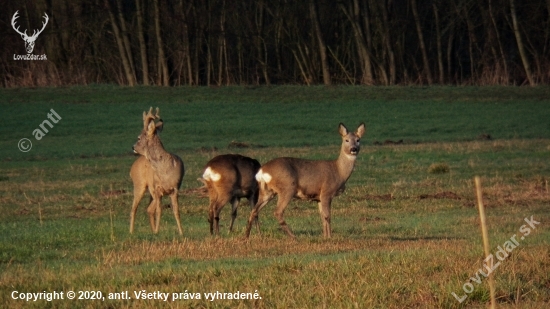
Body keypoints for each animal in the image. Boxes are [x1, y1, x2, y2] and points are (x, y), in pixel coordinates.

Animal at [130, 107, 185, 235]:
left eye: (139, 137)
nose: (133, 147)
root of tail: (132, 168)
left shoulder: (175, 189)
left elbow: (176, 211)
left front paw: (181, 232)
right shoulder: (157, 188)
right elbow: (159, 211)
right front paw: (157, 232)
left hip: (149, 191)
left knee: (148, 209)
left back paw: (151, 230)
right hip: (139, 183)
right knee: (134, 209)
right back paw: (131, 232)